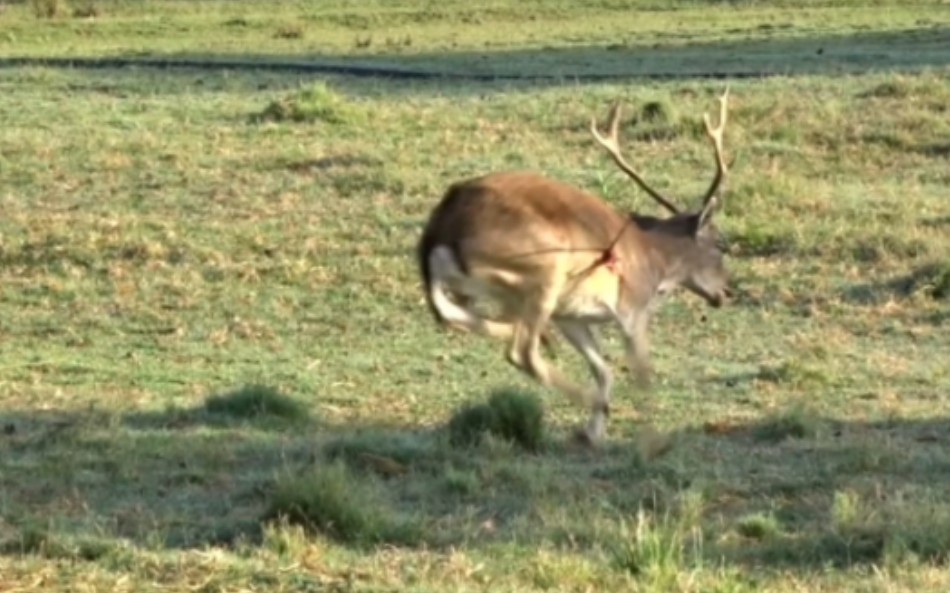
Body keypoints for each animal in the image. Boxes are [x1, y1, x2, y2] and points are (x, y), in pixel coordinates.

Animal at [416, 88, 736, 444]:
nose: (727, 292)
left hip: (474, 286)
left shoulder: (571, 316)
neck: (654, 258)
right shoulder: (632, 309)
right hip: (545, 268)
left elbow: (604, 369)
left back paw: (534, 339)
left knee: (451, 316)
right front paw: (652, 443)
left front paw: (594, 433)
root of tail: (440, 232)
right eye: (721, 244)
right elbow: (642, 376)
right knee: (520, 352)